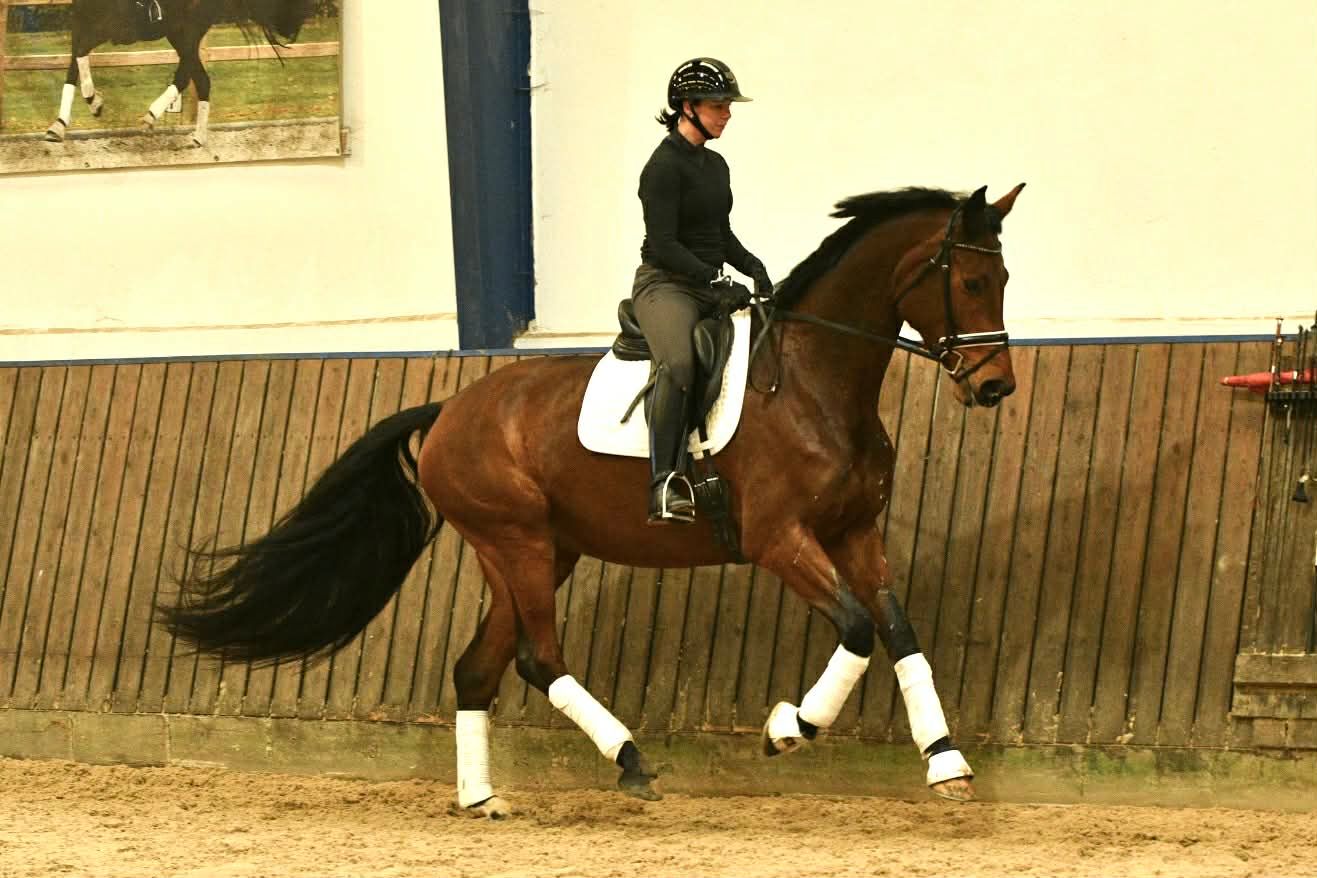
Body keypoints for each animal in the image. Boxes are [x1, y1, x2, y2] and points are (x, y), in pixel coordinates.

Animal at [43, 0, 315, 146]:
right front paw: (59, 126)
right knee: (200, 80)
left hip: (186, 30)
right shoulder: (82, 24)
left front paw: (94, 101)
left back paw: (153, 117)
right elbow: (73, 68)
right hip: (179, 32)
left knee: (189, 76)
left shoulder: (110, 28)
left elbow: (80, 55)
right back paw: (197, 137)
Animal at [161, 183, 1025, 818]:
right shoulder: (780, 539)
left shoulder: (854, 532)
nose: (993, 388)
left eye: (1004, 279)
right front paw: (789, 728)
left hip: (537, 552)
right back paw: (633, 762)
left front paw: (946, 762)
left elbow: (898, 631)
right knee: (539, 659)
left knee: (479, 668)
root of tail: (448, 411)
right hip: (517, 542)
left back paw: (481, 799)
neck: (815, 382)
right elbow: (854, 628)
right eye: (970, 280)